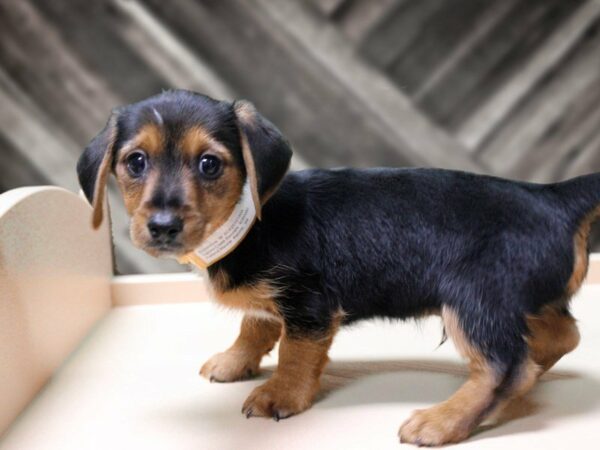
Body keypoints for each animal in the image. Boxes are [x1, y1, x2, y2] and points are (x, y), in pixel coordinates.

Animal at [78, 89, 600, 446]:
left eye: (209, 164)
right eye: (135, 162)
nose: (162, 226)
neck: (248, 223)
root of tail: (553, 197)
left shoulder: (308, 306)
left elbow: (294, 353)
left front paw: (279, 396)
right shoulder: (275, 302)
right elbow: (254, 325)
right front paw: (233, 361)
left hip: (476, 299)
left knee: (505, 367)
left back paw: (442, 420)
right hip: (522, 298)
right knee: (560, 337)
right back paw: (532, 373)